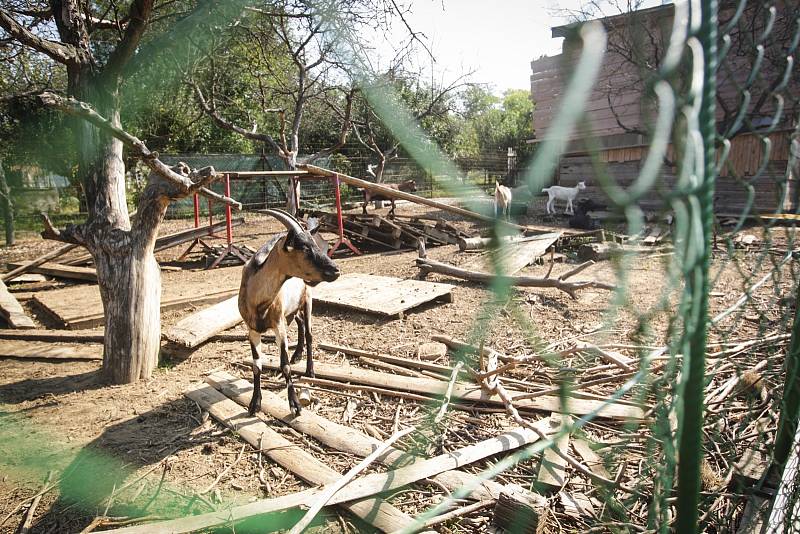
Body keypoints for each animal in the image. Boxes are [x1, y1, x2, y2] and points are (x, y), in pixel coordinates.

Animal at [236, 209, 340, 418]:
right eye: (305, 248)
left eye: (314, 244)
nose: (335, 270)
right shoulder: (252, 330)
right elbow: (256, 365)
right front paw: (254, 404)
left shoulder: (279, 326)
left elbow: (284, 365)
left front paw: (295, 405)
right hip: (292, 310)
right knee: (300, 324)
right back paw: (297, 354)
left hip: (307, 300)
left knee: (309, 333)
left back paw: (309, 370)